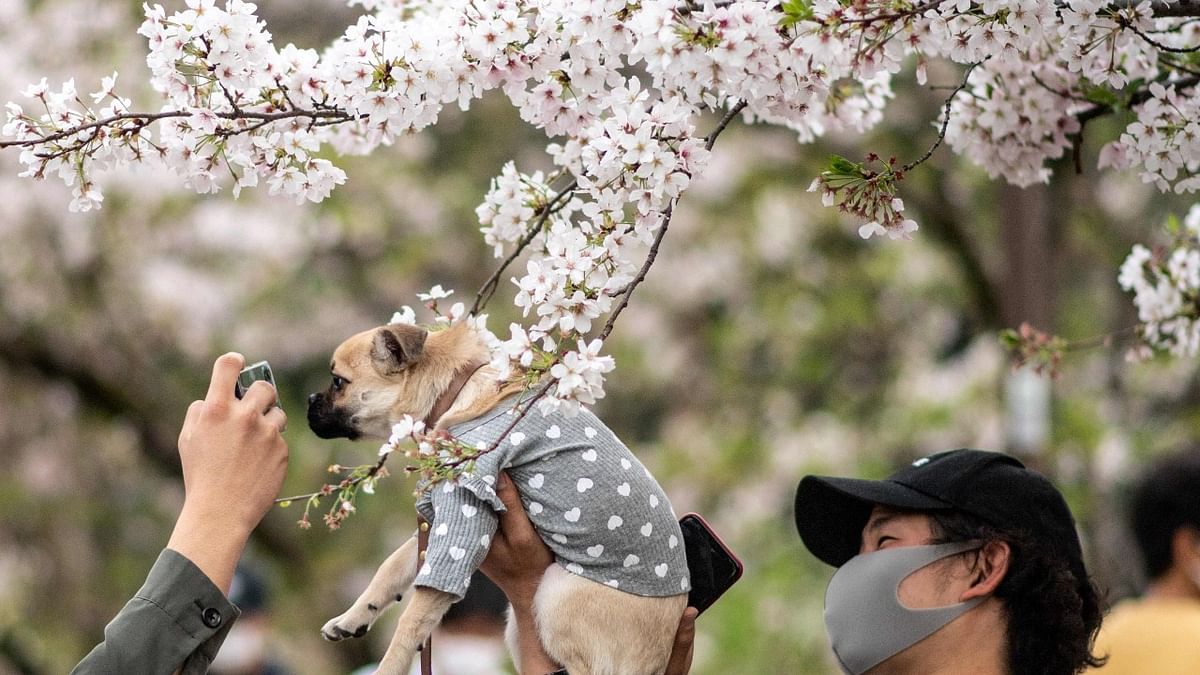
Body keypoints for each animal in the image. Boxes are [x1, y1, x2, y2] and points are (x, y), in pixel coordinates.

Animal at [304, 319, 691, 672]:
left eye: (338, 382)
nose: (309, 398)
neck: (451, 391)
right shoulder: (440, 524)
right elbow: (392, 567)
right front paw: (353, 616)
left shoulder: (463, 518)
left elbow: (412, 620)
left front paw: (388, 666)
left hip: (553, 596)